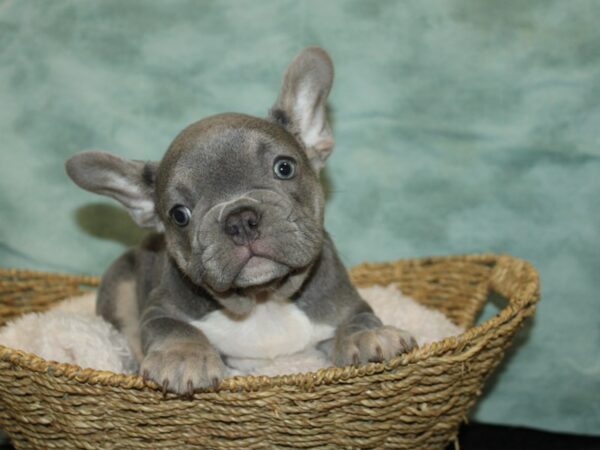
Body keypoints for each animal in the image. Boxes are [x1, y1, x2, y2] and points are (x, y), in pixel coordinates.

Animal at [64, 47, 412, 396]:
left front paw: (367, 336)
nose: (240, 219)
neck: (263, 301)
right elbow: (174, 328)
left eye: (284, 167)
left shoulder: (348, 304)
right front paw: (183, 357)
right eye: (179, 214)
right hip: (119, 283)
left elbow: (359, 319)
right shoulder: (158, 310)